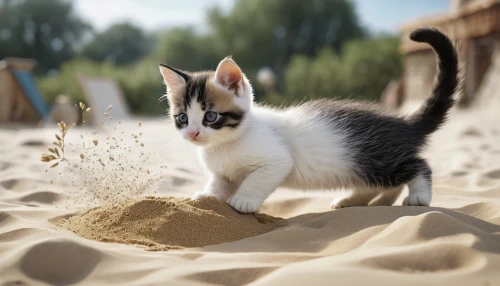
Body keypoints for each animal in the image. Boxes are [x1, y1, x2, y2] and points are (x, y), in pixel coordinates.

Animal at [160, 27, 460, 213]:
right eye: (183, 118)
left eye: (210, 116)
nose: (193, 133)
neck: (224, 145)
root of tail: (402, 124)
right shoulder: (222, 171)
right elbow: (219, 182)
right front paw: (208, 195)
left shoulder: (277, 160)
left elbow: (257, 180)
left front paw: (244, 200)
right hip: (367, 167)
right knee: (387, 184)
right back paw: (356, 200)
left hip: (379, 160)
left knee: (418, 166)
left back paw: (419, 196)